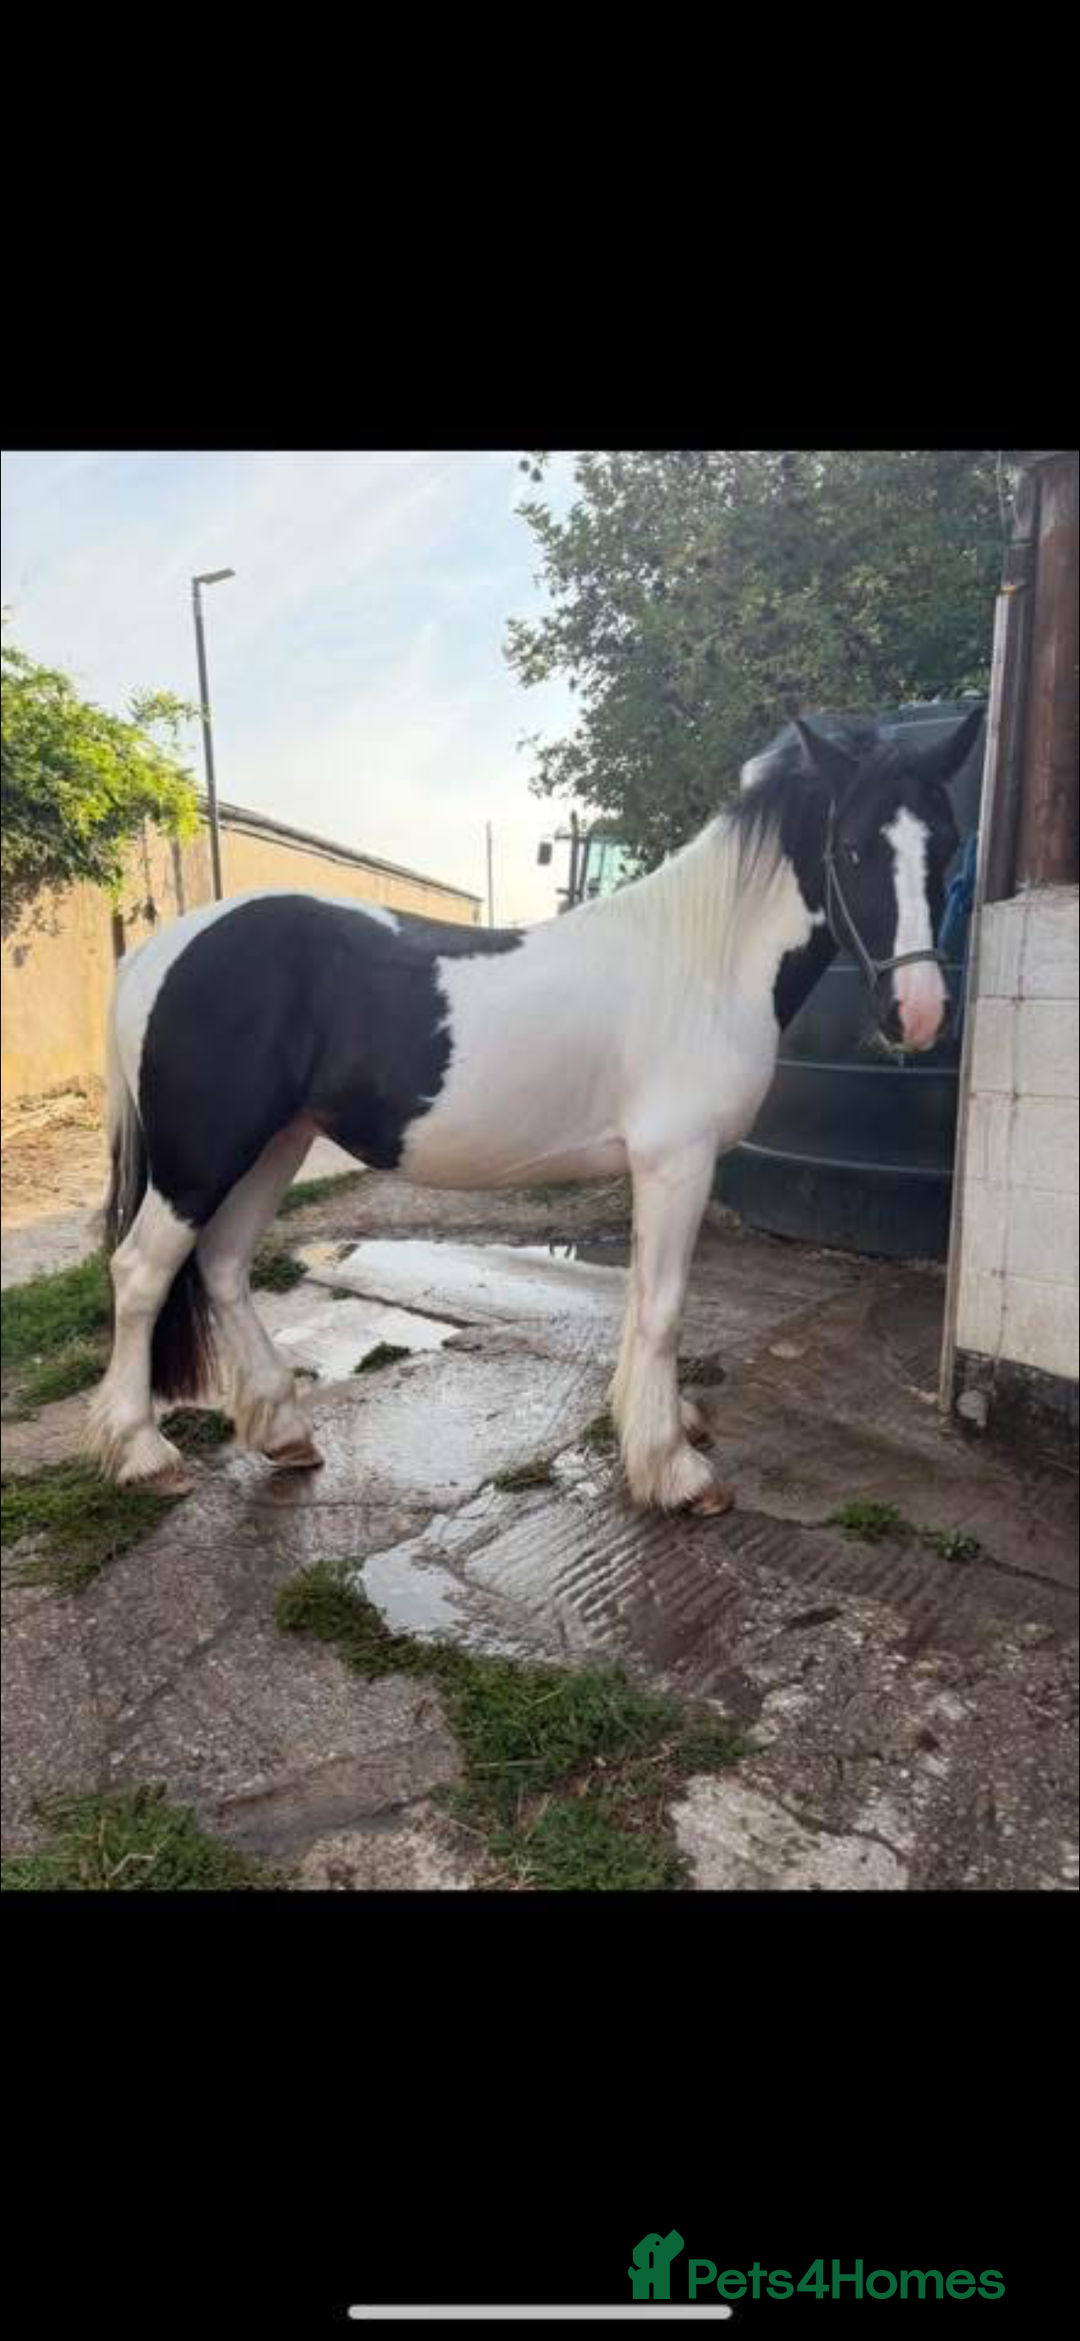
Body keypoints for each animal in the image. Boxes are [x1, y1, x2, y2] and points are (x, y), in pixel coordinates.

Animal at [86, 705, 980, 1514]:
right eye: (854, 847)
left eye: (946, 844)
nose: (919, 1011)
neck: (702, 964)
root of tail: (156, 951)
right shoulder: (678, 1159)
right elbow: (664, 1308)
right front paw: (676, 1470)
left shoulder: (658, 1167)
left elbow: (642, 1302)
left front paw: (653, 1429)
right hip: (204, 1154)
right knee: (140, 1273)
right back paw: (144, 1453)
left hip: (277, 1143)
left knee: (223, 1264)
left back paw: (283, 1432)